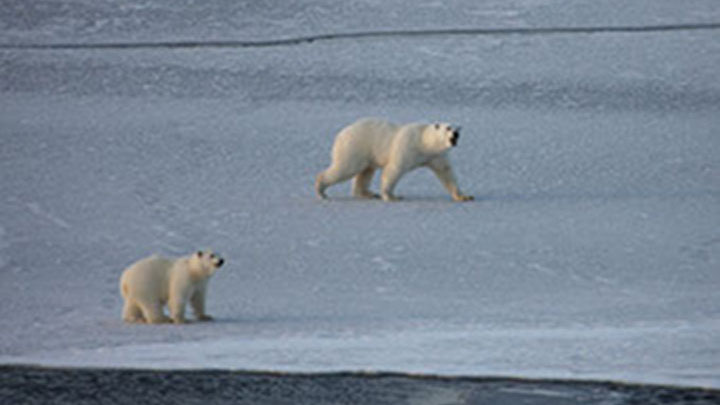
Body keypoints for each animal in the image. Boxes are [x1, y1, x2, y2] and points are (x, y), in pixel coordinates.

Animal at [316, 117, 472, 201]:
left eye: (458, 128)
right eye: (448, 128)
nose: (456, 134)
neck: (424, 142)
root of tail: (340, 134)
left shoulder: (436, 156)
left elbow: (446, 173)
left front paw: (464, 197)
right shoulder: (407, 146)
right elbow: (394, 169)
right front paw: (391, 196)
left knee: (366, 172)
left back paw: (368, 193)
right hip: (355, 146)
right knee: (346, 168)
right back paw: (321, 191)